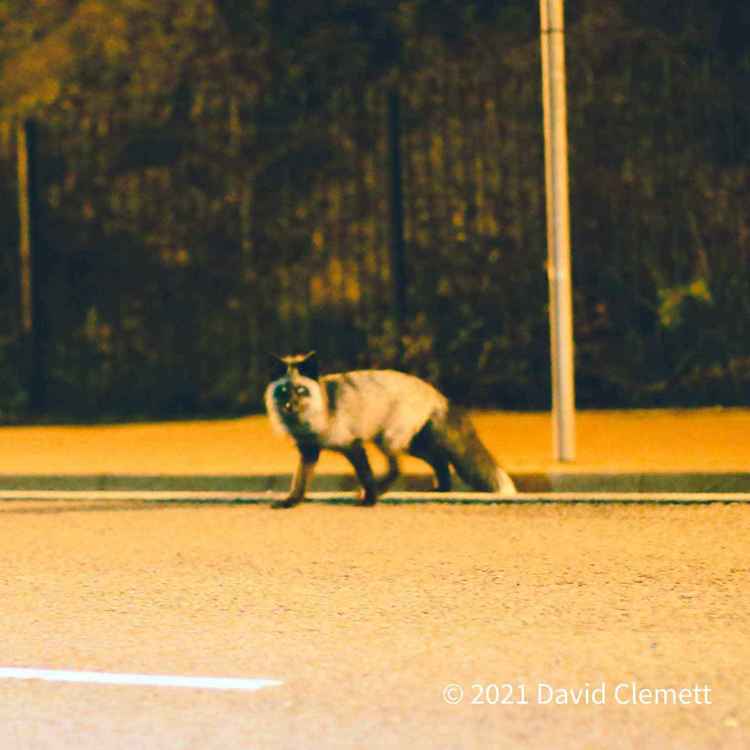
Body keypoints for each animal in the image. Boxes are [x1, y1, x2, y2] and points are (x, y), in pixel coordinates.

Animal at [264, 354, 516, 512]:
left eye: (301, 391)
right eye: (283, 391)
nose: (290, 406)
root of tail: (434, 392)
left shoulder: (353, 445)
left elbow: (365, 474)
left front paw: (370, 500)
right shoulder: (309, 452)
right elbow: (299, 481)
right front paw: (291, 502)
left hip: (389, 441)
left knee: (398, 469)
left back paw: (379, 492)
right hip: (408, 444)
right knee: (438, 460)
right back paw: (441, 488)